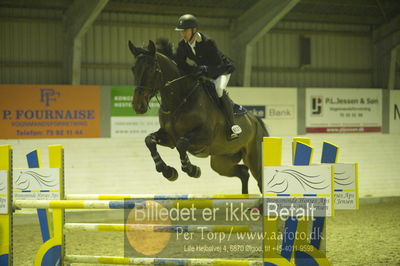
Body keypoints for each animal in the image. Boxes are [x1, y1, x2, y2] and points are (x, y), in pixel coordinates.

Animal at [128, 39, 270, 193]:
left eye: (151, 69)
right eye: (133, 69)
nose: (138, 105)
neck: (180, 100)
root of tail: (255, 120)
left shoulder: (205, 136)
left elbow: (181, 143)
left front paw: (192, 169)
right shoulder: (169, 137)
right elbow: (149, 140)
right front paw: (168, 171)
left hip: (253, 157)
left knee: (260, 180)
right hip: (221, 161)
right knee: (243, 172)